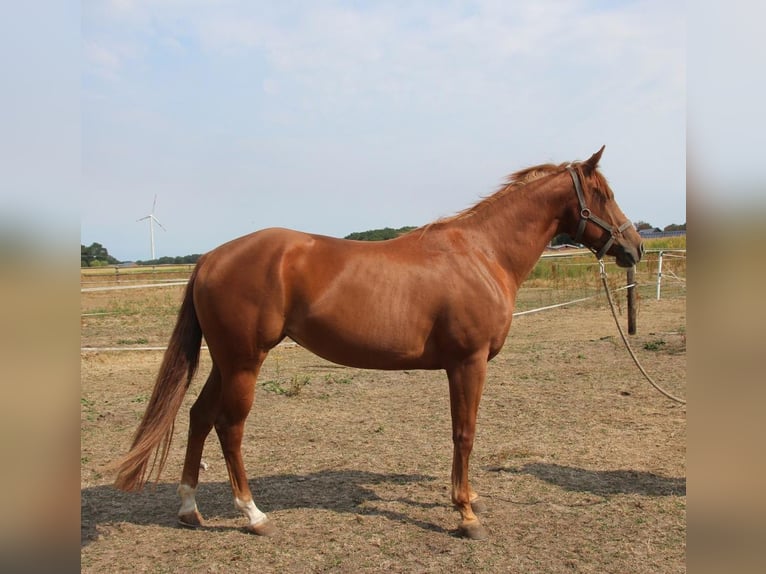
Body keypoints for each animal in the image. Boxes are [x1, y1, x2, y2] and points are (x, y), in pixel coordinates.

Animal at [113, 146, 643, 540]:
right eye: (605, 194)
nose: (634, 248)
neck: (482, 252)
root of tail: (210, 257)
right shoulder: (468, 363)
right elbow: (465, 433)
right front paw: (466, 514)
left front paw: (465, 499)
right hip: (244, 362)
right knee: (229, 426)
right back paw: (253, 514)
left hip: (225, 362)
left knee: (199, 417)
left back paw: (190, 509)